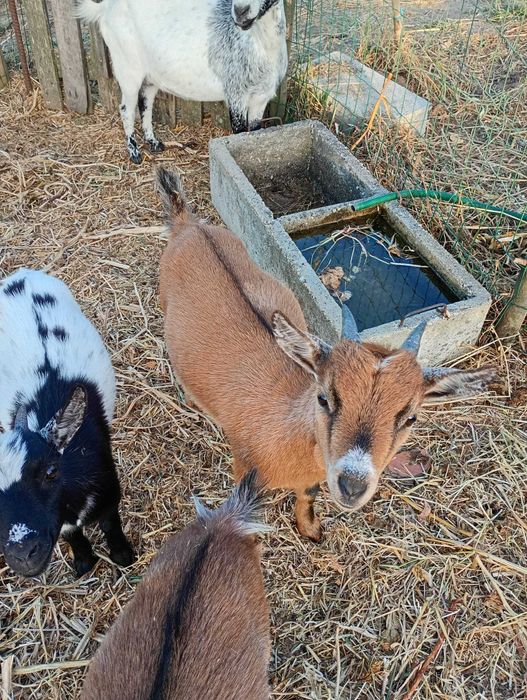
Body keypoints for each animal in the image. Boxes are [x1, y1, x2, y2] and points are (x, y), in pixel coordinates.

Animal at [0, 269, 134, 577]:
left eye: (51, 470)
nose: (23, 553)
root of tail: (20, 276)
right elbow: (71, 533)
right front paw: (84, 561)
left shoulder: (108, 493)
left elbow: (110, 523)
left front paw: (123, 555)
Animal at [76, 0, 287, 164]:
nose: (240, 11)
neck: (262, 43)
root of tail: (106, 7)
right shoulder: (236, 94)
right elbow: (240, 132)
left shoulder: (261, 97)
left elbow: (254, 131)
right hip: (127, 66)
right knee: (126, 108)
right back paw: (134, 153)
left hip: (151, 75)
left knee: (145, 104)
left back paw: (154, 143)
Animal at [157, 168, 496, 541]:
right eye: (324, 398)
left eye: (411, 418)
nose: (352, 485)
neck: (284, 426)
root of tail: (189, 225)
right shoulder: (243, 468)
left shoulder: (310, 481)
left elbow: (308, 496)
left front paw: (311, 530)